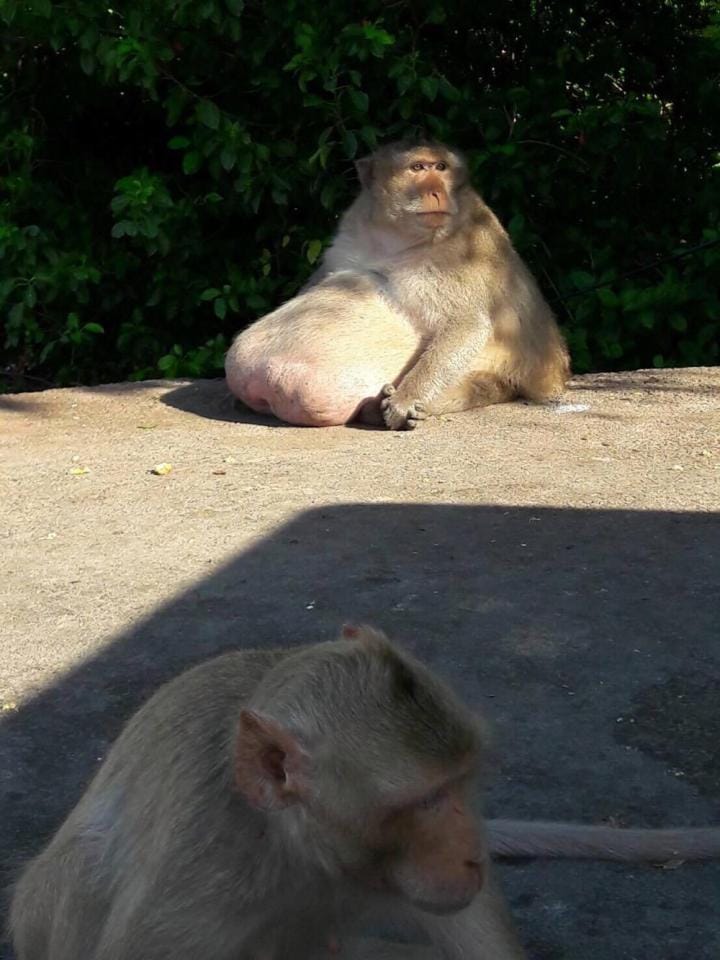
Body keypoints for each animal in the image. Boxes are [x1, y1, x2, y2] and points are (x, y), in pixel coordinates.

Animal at [224, 140, 570, 429]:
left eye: (440, 167)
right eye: (418, 168)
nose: (437, 191)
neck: (395, 236)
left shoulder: (462, 254)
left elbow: (468, 325)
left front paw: (405, 401)